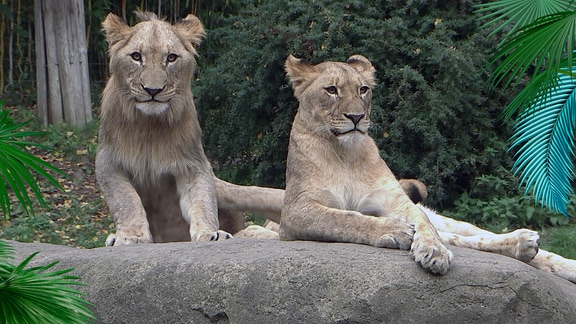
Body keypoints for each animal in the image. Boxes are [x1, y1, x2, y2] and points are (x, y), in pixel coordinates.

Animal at [98, 12, 282, 246]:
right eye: (136, 56)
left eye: (171, 58)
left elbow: (201, 199)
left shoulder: (192, 163)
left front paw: (210, 233)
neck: (149, 126)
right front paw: (131, 236)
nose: (153, 90)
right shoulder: (108, 161)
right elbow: (125, 200)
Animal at [280, 53, 576, 280]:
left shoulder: (394, 199)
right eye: (331, 90)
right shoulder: (293, 213)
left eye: (363, 89)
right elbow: (343, 218)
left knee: (466, 234)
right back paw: (523, 246)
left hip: (448, 219)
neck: (345, 154)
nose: (356, 117)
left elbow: (422, 223)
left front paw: (434, 251)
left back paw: (541, 250)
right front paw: (393, 230)